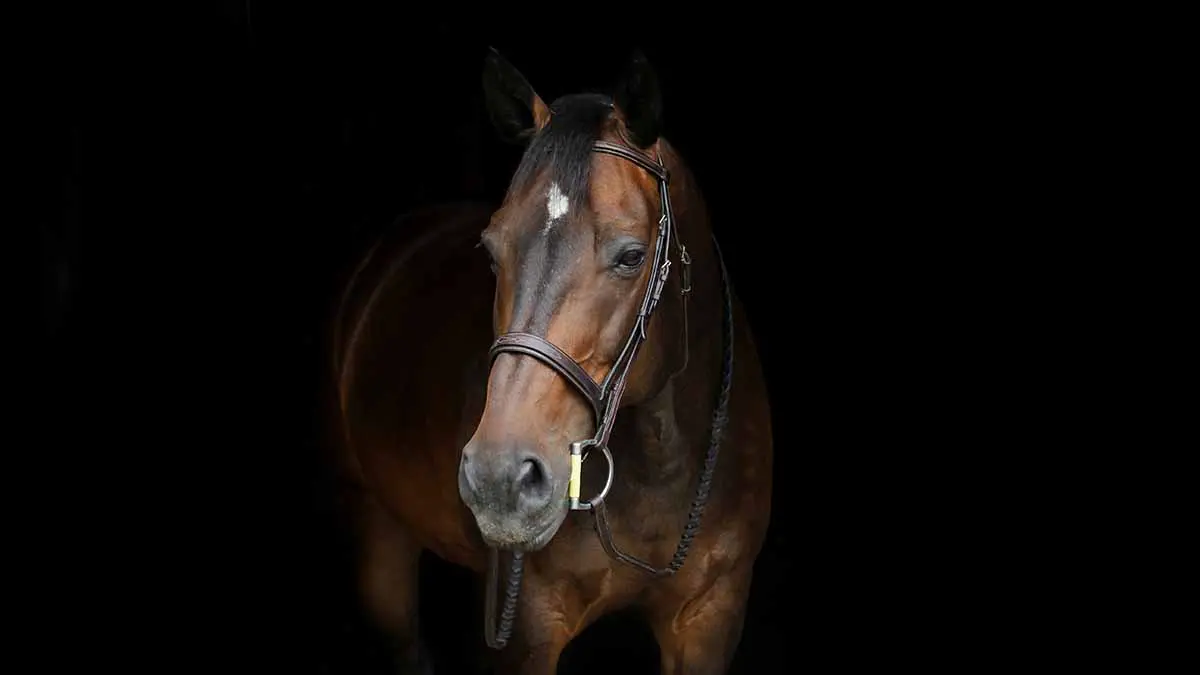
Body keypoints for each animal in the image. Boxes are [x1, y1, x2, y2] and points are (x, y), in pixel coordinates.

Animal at [327, 48, 774, 674]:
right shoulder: (527, 630)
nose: (498, 478)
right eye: (491, 251)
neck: (661, 465)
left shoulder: (711, 618)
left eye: (632, 255)